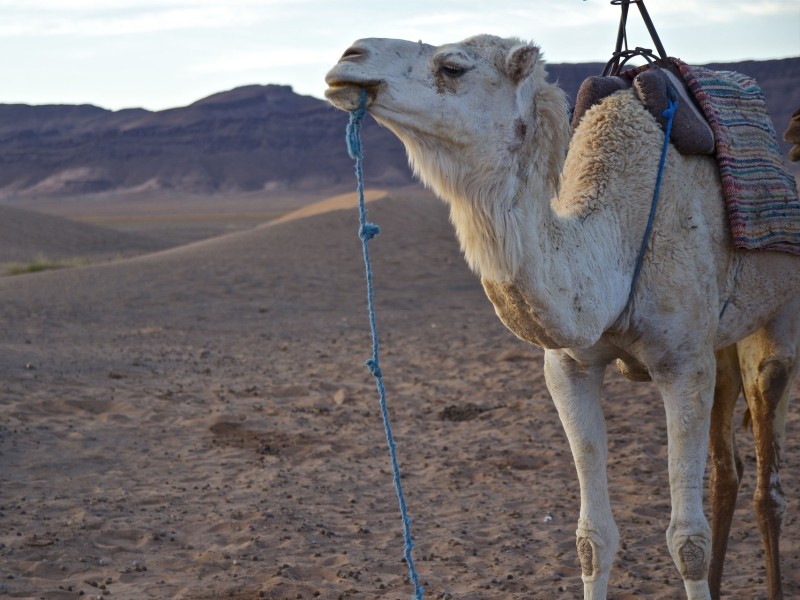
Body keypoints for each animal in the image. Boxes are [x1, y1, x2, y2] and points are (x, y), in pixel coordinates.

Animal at [324, 35, 799, 599]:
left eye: (453, 66)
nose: (349, 57)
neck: (616, 239)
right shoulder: (569, 366)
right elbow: (592, 538)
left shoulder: (684, 364)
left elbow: (688, 541)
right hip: (724, 345)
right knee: (728, 468)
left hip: (778, 313)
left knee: (768, 461)